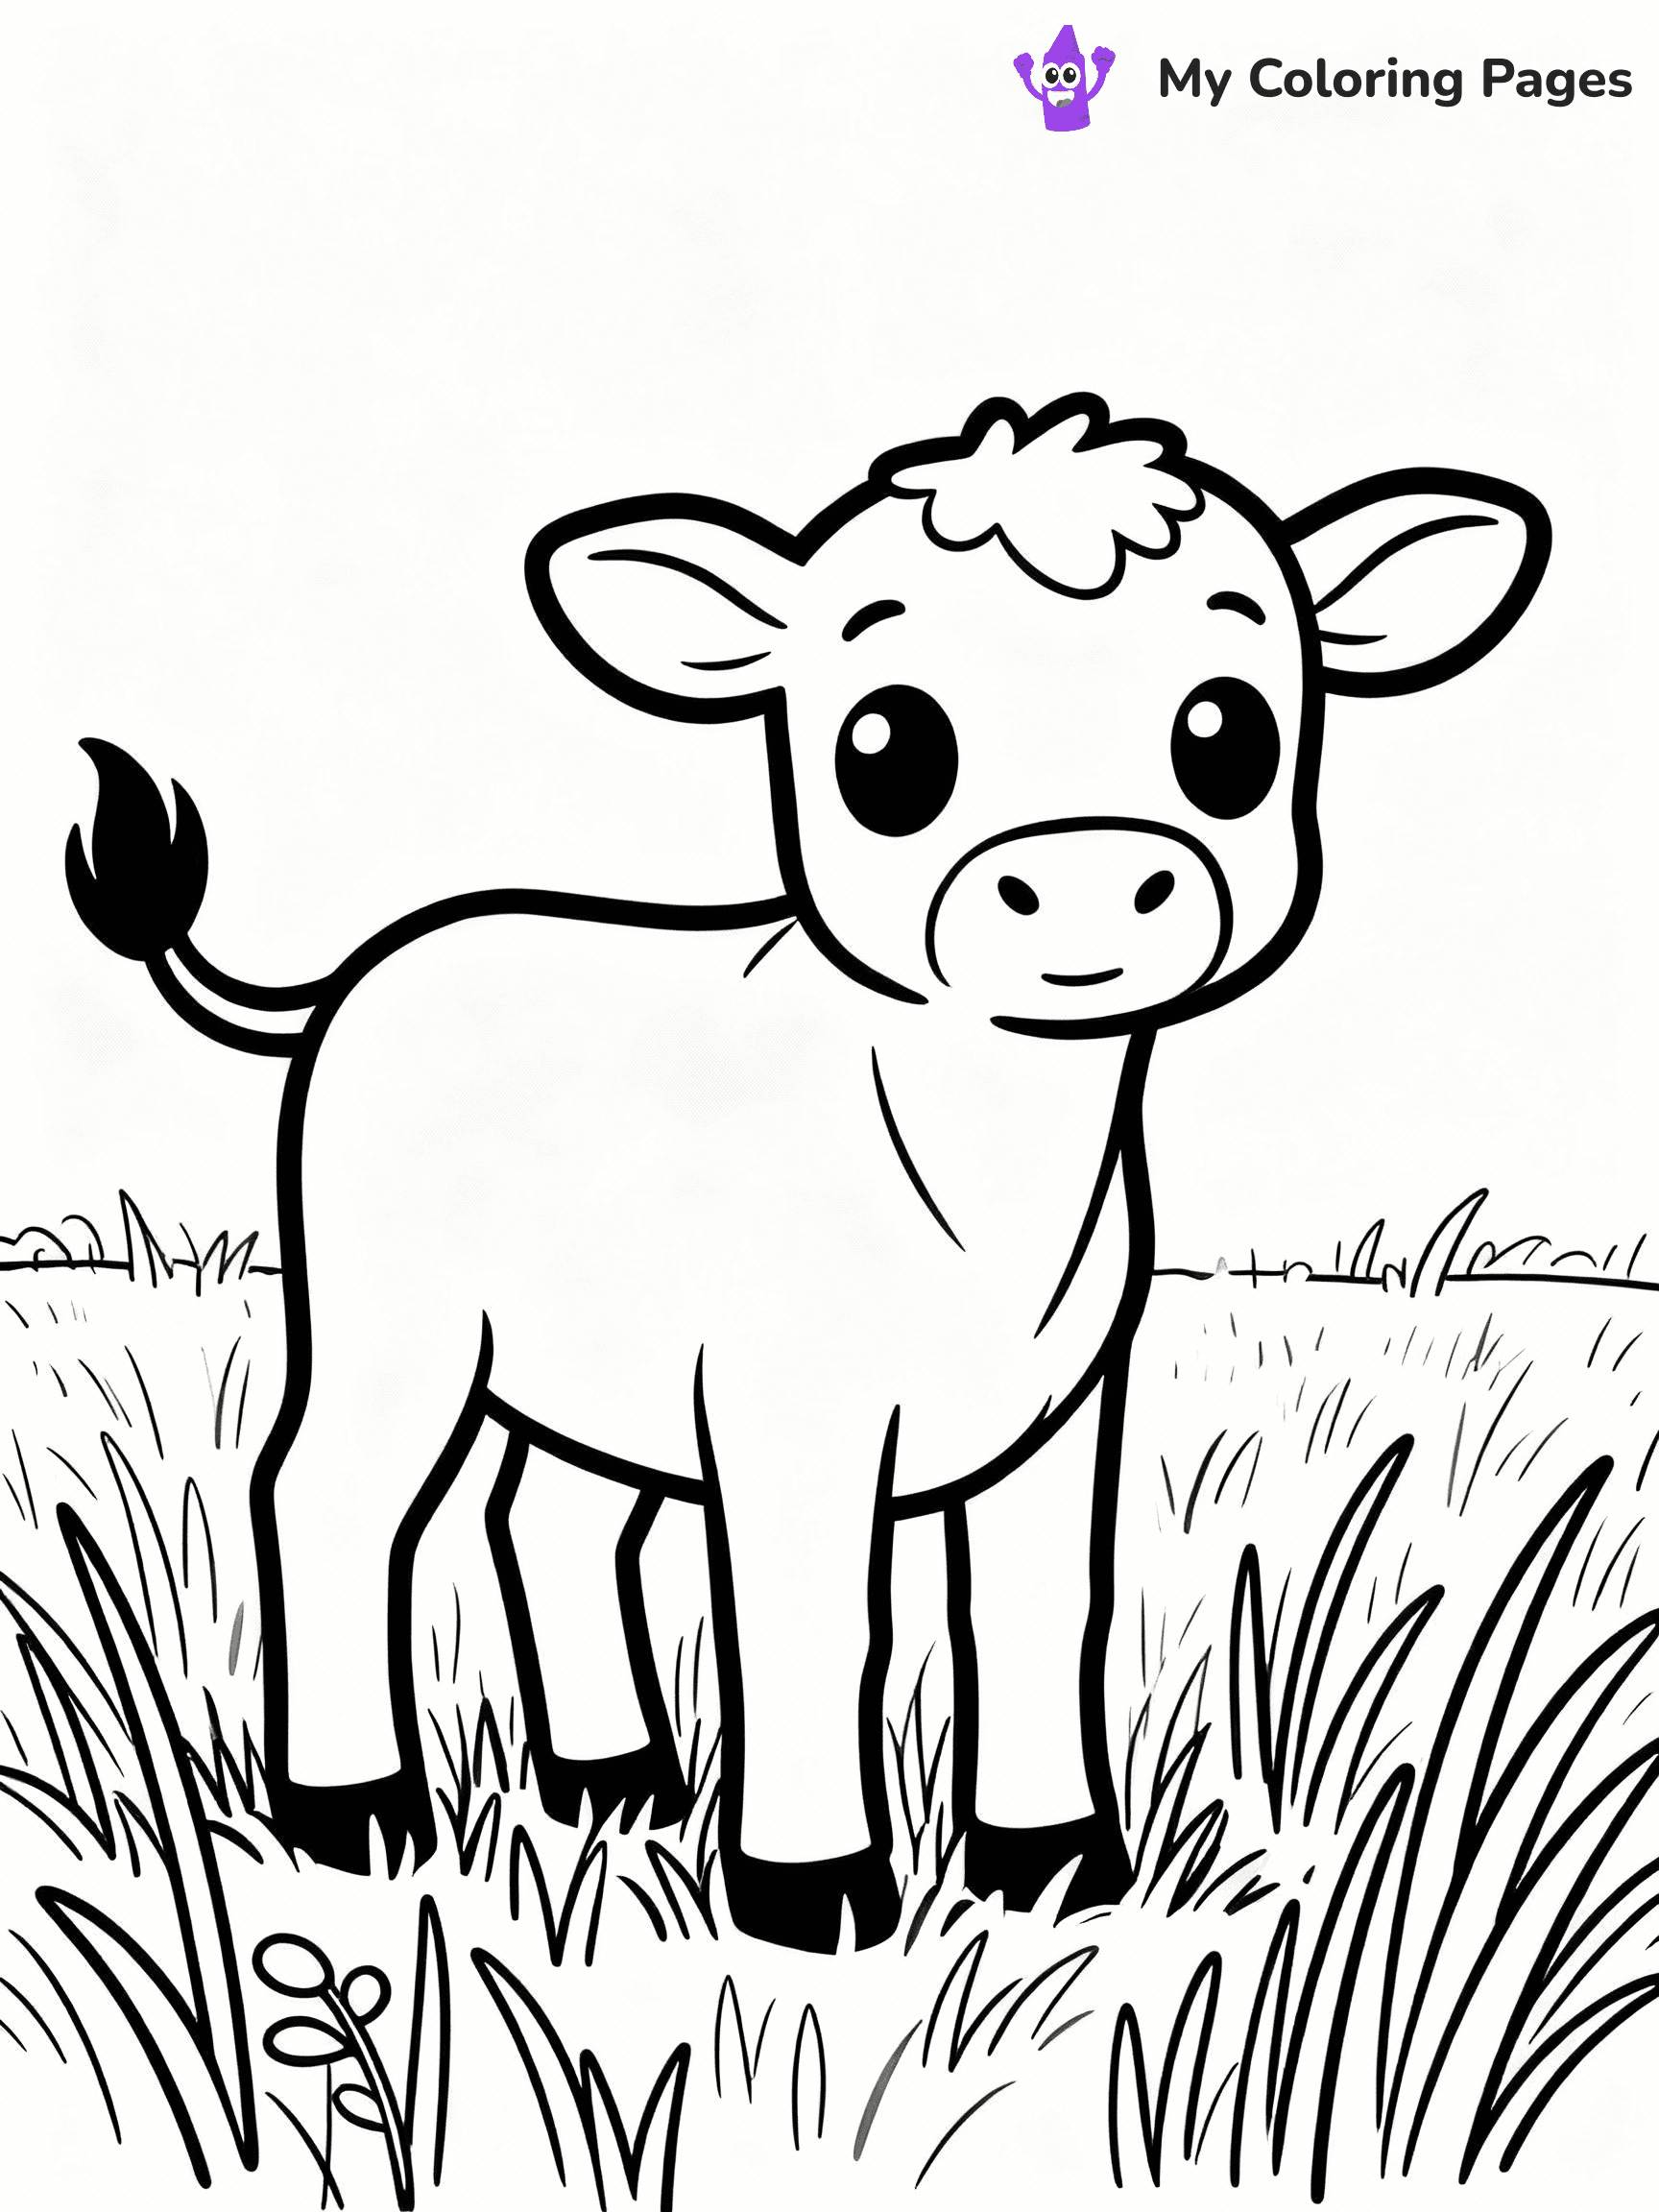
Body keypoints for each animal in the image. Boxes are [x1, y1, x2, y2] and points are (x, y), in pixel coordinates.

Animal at [68, 395, 1549, 1951]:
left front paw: (1054, 1870)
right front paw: (816, 1898)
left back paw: (615, 1787)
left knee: (550, 1521)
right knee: (326, 1493)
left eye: (1229, 732)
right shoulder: (792, 1408)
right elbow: (823, 1623)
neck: (981, 1162)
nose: (1084, 884)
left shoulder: (1062, 1407)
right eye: (887, 748)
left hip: (590, 1353)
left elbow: (1040, 1607)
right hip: (393, 1319)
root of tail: (365, 967)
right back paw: (357, 1816)